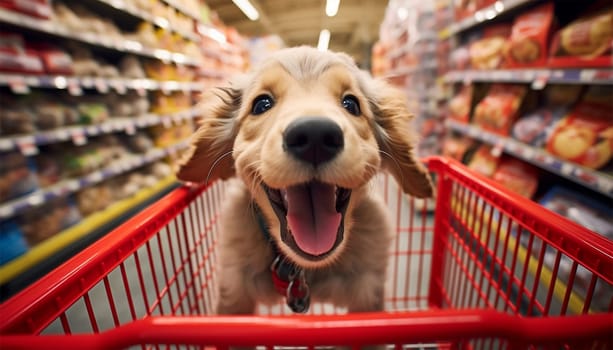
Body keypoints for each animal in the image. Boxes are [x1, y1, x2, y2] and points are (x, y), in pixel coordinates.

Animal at [177, 45, 432, 316]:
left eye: (351, 104)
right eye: (261, 104)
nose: (315, 136)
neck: (304, 269)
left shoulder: (368, 294)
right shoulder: (232, 291)